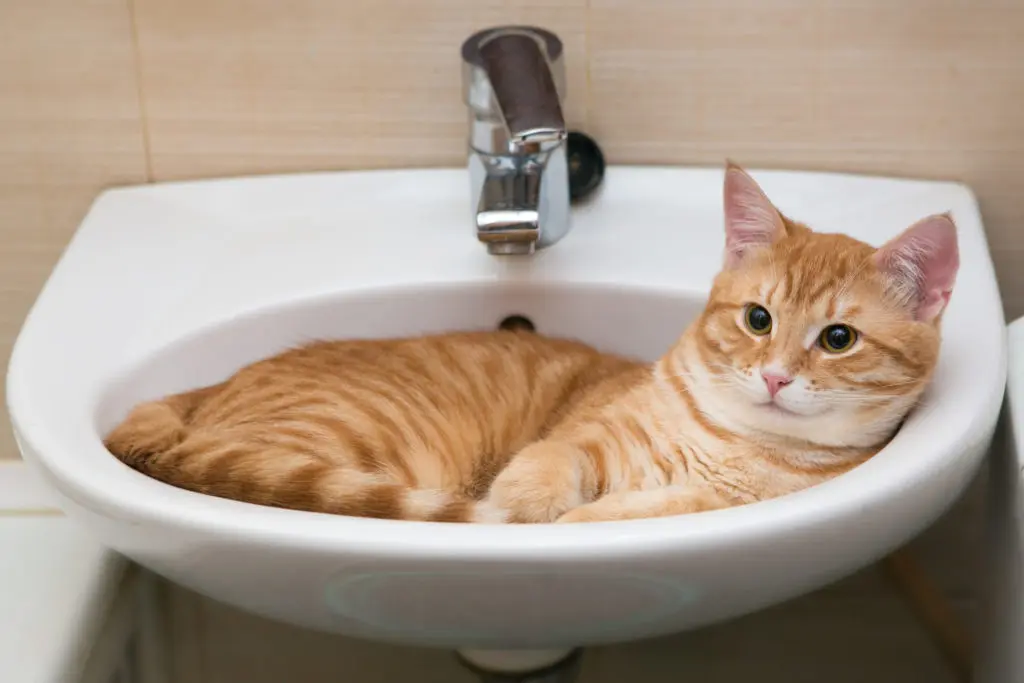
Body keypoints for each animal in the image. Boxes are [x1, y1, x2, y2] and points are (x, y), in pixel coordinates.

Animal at [99, 163, 954, 524]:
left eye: (838, 338)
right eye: (757, 319)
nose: (774, 377)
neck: (731, 441)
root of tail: (195, 398)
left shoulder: (713, 502)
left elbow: (629, 512)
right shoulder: (588, 436)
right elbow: (550, 462)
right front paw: (526, 501)